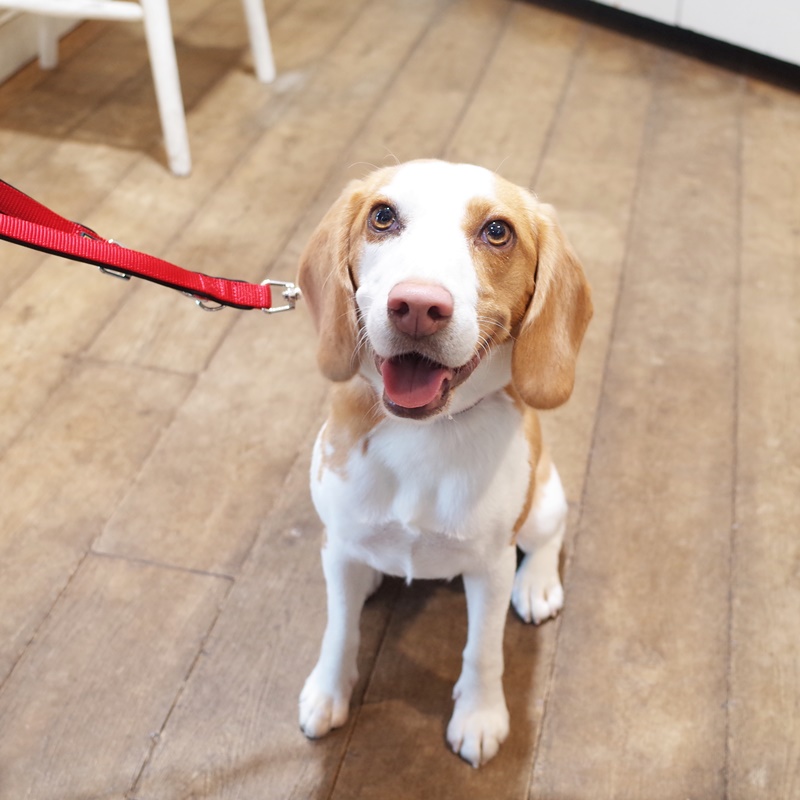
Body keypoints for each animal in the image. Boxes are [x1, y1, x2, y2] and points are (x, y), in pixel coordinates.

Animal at [296, 159, 592, 767]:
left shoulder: (490, 565)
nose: (416, 306)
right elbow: (339, 631)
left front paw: (479, 717)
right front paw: (328, 692)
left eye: (498, 231)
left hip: (544, 501)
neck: (424, 434)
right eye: (382, 217)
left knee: (549, 537)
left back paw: (538, 586)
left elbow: (483, 651)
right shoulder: (337, 543)